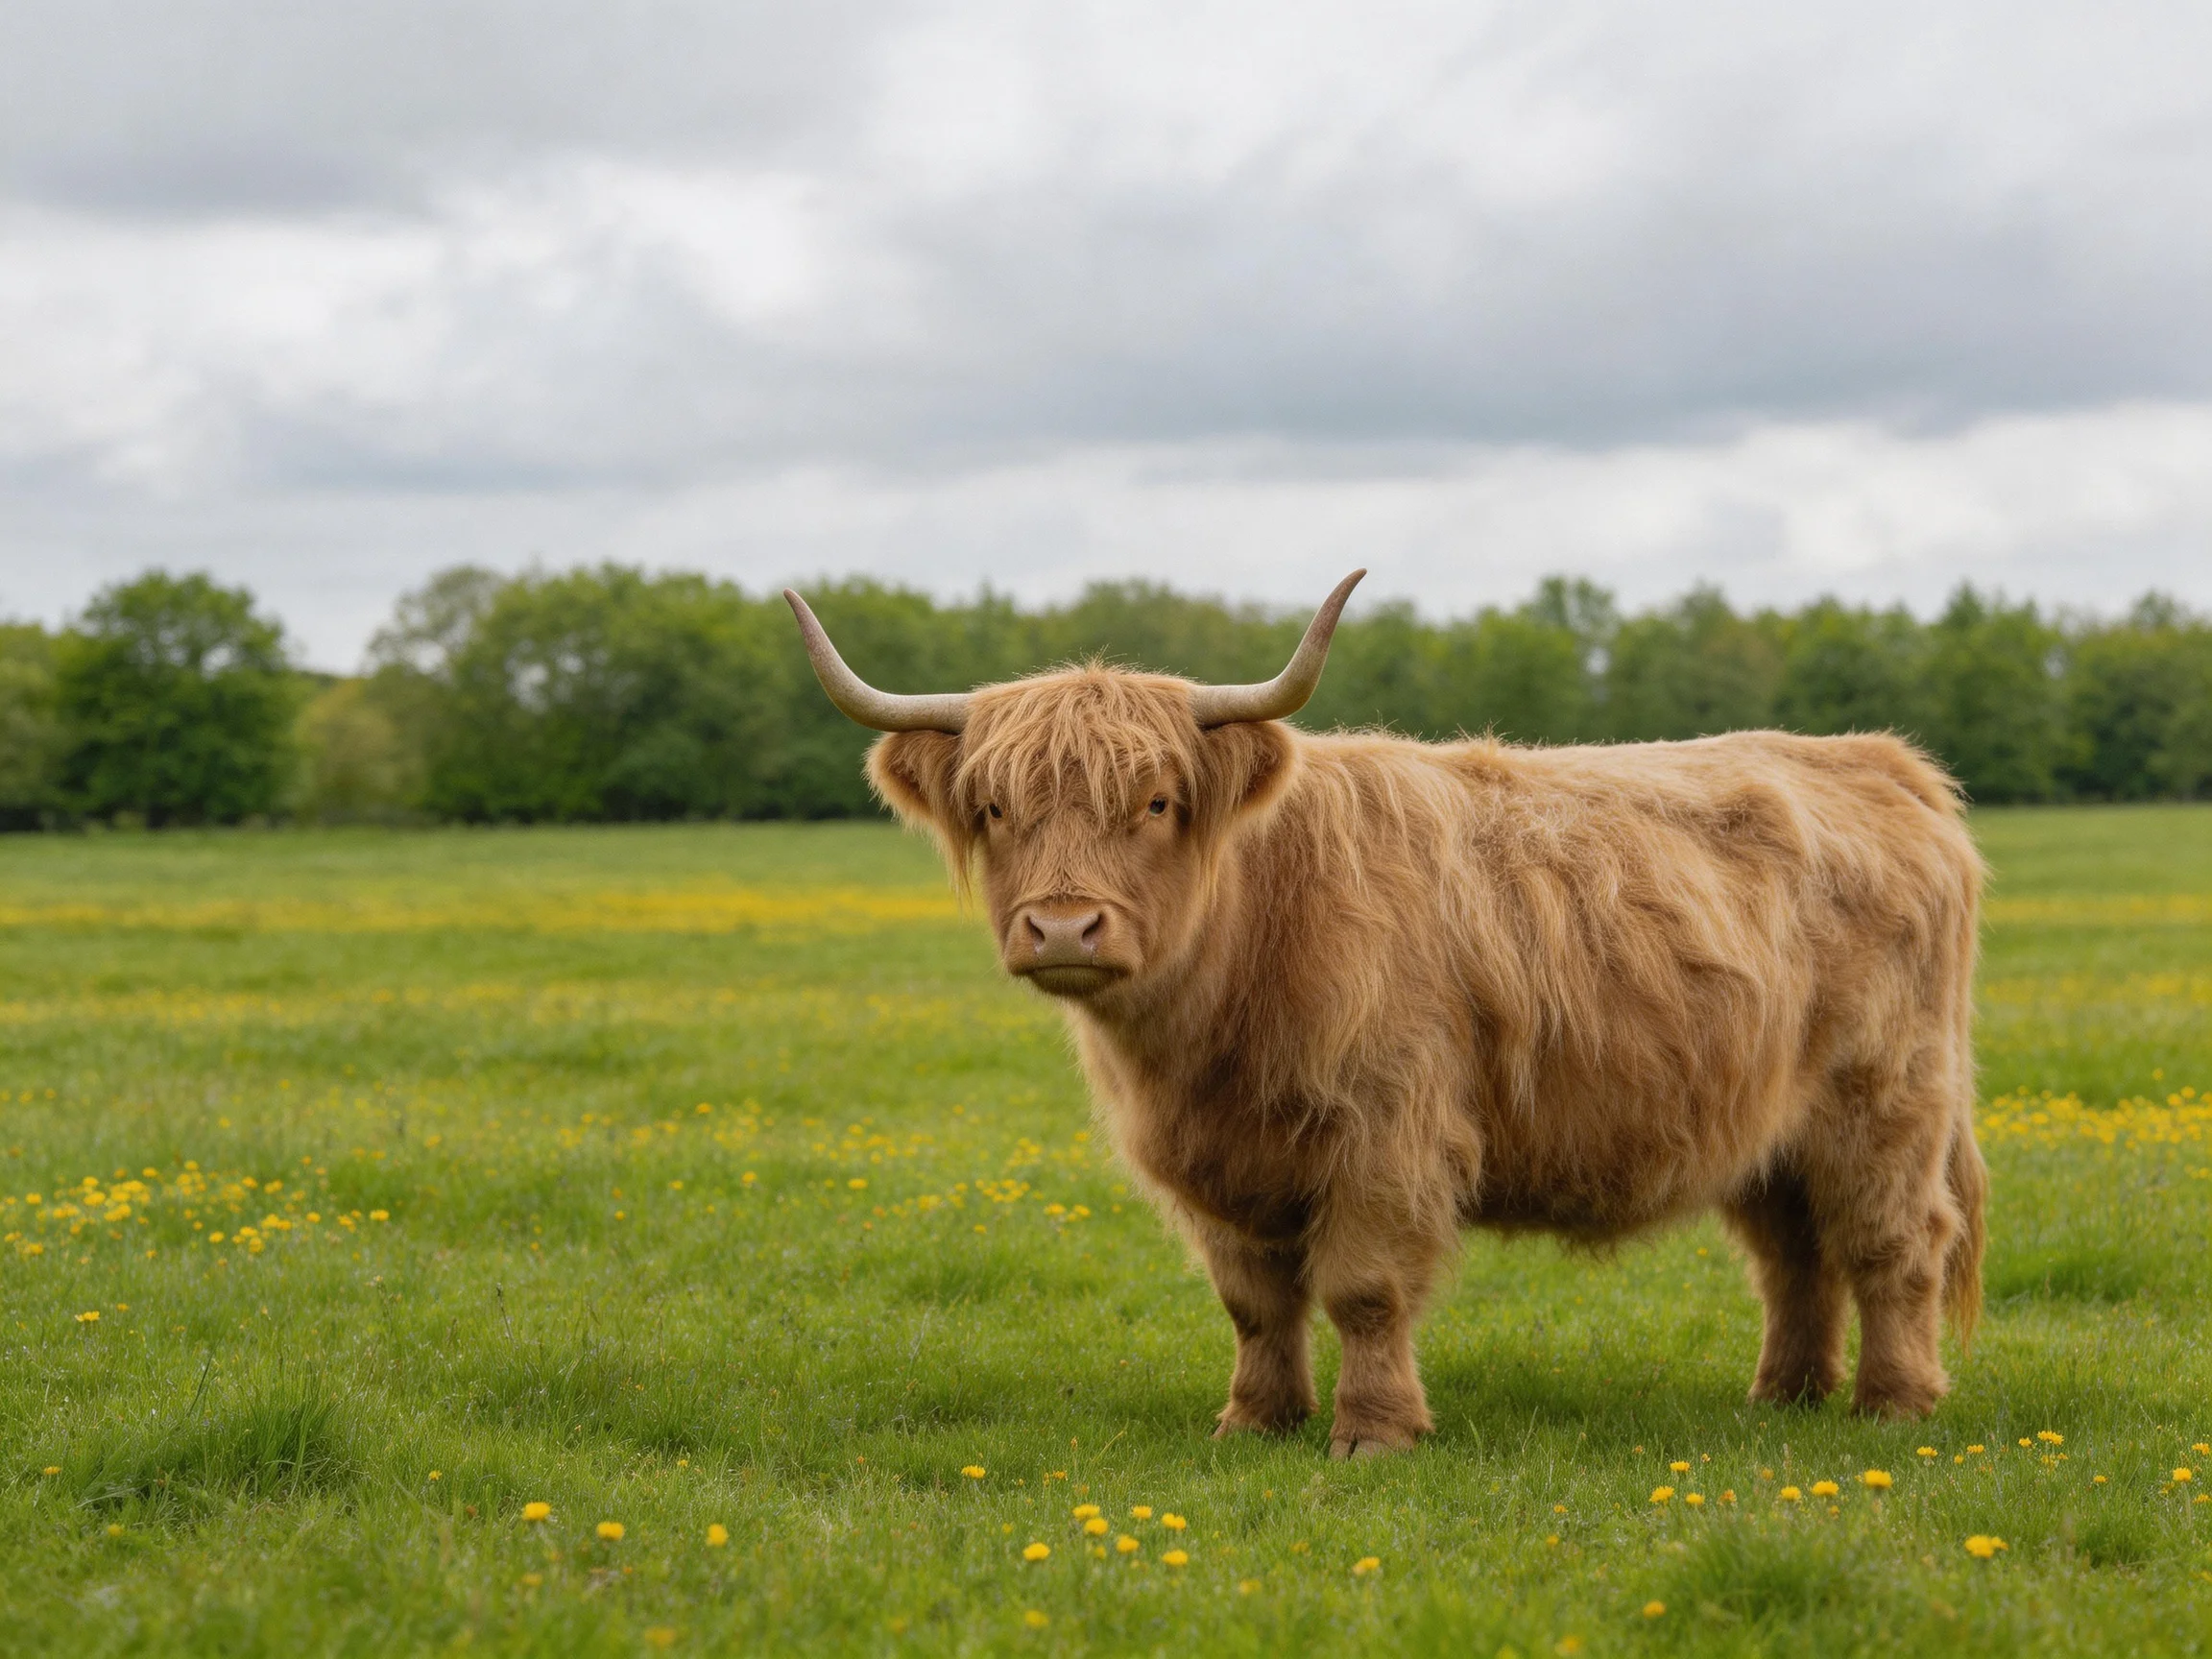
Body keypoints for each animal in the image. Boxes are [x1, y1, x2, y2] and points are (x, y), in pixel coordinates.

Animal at [784, 571, 1987, 1454]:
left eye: (1158, 803)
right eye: (996, 809)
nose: (1066, 928)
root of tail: (1885, 763)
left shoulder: (1387, 1131)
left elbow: (1361, 1290)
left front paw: (1374, 1434)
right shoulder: (1221, 1164)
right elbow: (1254, 1300)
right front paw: (1256, 1421)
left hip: (1883, 1098)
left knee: (1891, 1240)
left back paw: (1894, 1404)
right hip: (1768, 1125)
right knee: (1794, 1254)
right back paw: (1782, 1396)